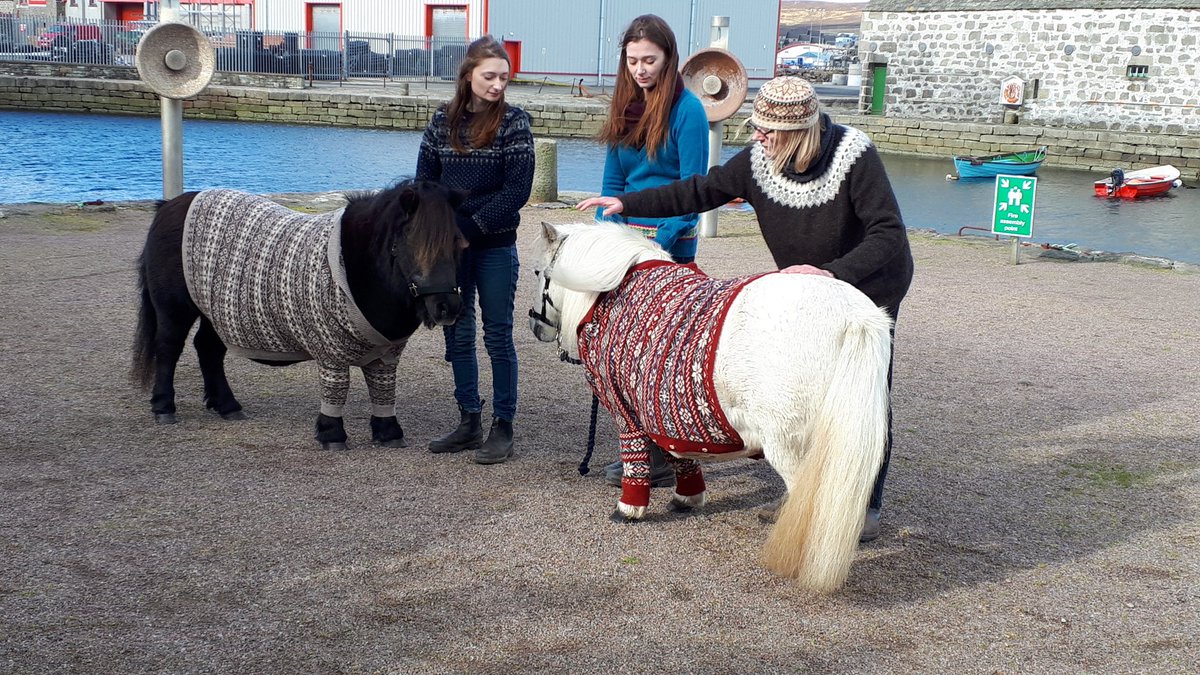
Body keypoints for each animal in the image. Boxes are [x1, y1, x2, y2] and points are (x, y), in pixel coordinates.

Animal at [132, 181, 463, 449]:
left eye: (459, 243)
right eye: (415, 243)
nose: (447, 307)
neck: (354, 263)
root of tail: (170, 205)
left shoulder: (385, 354)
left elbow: (383, 389)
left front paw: (389, 432)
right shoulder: (331, 350)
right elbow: (336, 388)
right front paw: (332, 434)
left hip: (214, 311)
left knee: (208, 349)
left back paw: (226, 405)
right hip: (175, 309)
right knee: (168, 349)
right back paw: (164, 407)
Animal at [530, 222, 897, 588]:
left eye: (538, 272)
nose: (535, 325)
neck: (613, 292)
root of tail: (855, 316)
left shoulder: (626, 409)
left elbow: (638, 458)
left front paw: (628, 509)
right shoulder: (665, 412)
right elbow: (680, 454)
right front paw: (687, 497)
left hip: (795, 448)